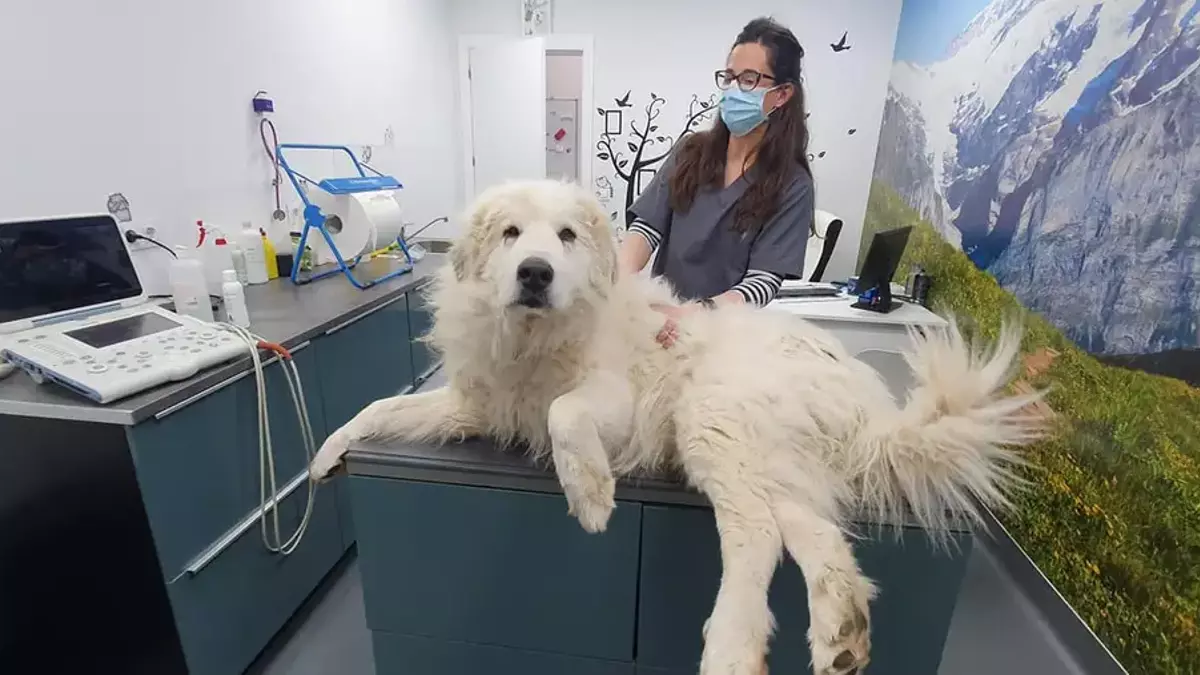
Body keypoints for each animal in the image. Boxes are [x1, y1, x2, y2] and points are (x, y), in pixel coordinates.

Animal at [312, 178, 1041, 672]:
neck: (535, 339)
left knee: (756, 537)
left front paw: (591, 496)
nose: (535, 273)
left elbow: (563, 413)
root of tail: (867, 399)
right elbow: (378, 408)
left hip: (710, 419)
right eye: (512, 234)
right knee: (818, 538)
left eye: (567, 237)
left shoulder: (613, 401)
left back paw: (732, 648)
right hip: (778, 464)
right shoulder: (476, 404)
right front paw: (325, 456)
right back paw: (841, 634)